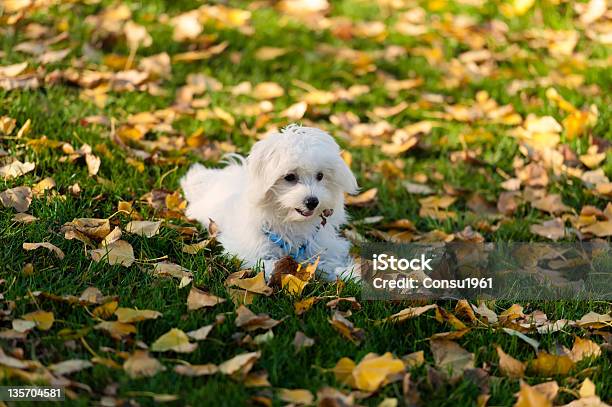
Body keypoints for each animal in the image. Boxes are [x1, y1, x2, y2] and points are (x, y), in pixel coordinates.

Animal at [182, 124, 360, 282]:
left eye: (320, 176)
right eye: (289, 177)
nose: (312, 201)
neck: (290, 221)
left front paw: (350, 274)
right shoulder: (246, 251)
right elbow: (267, 265)